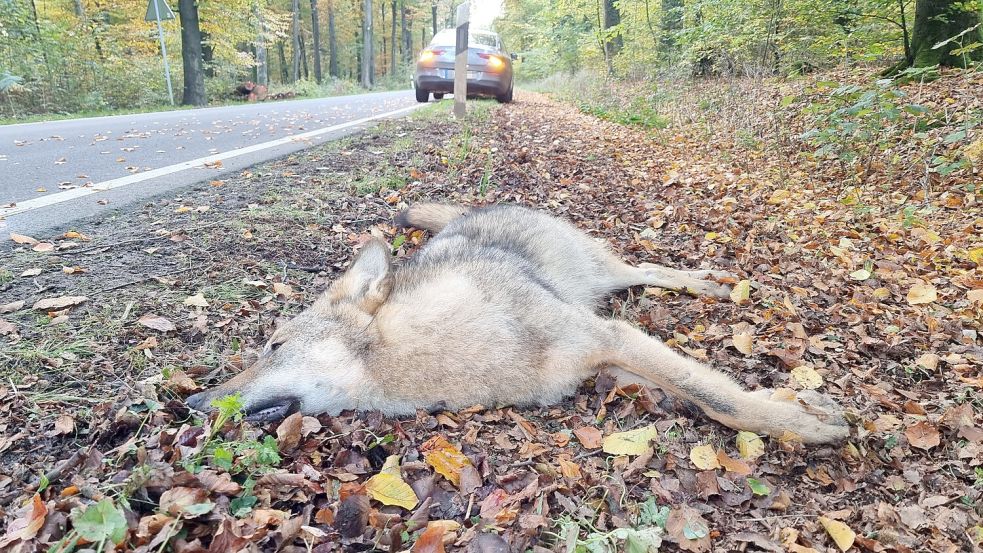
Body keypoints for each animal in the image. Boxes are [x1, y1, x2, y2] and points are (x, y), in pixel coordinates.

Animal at [188, 205, 848, 442]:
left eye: (273, 345)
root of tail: (478, 207)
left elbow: (722, 399)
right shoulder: (609, 360)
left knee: (647, 267)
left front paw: (803, 423)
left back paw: (708, 282)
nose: (189, 404)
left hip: (602, 274)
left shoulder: (606, 336)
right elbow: (702, 390)